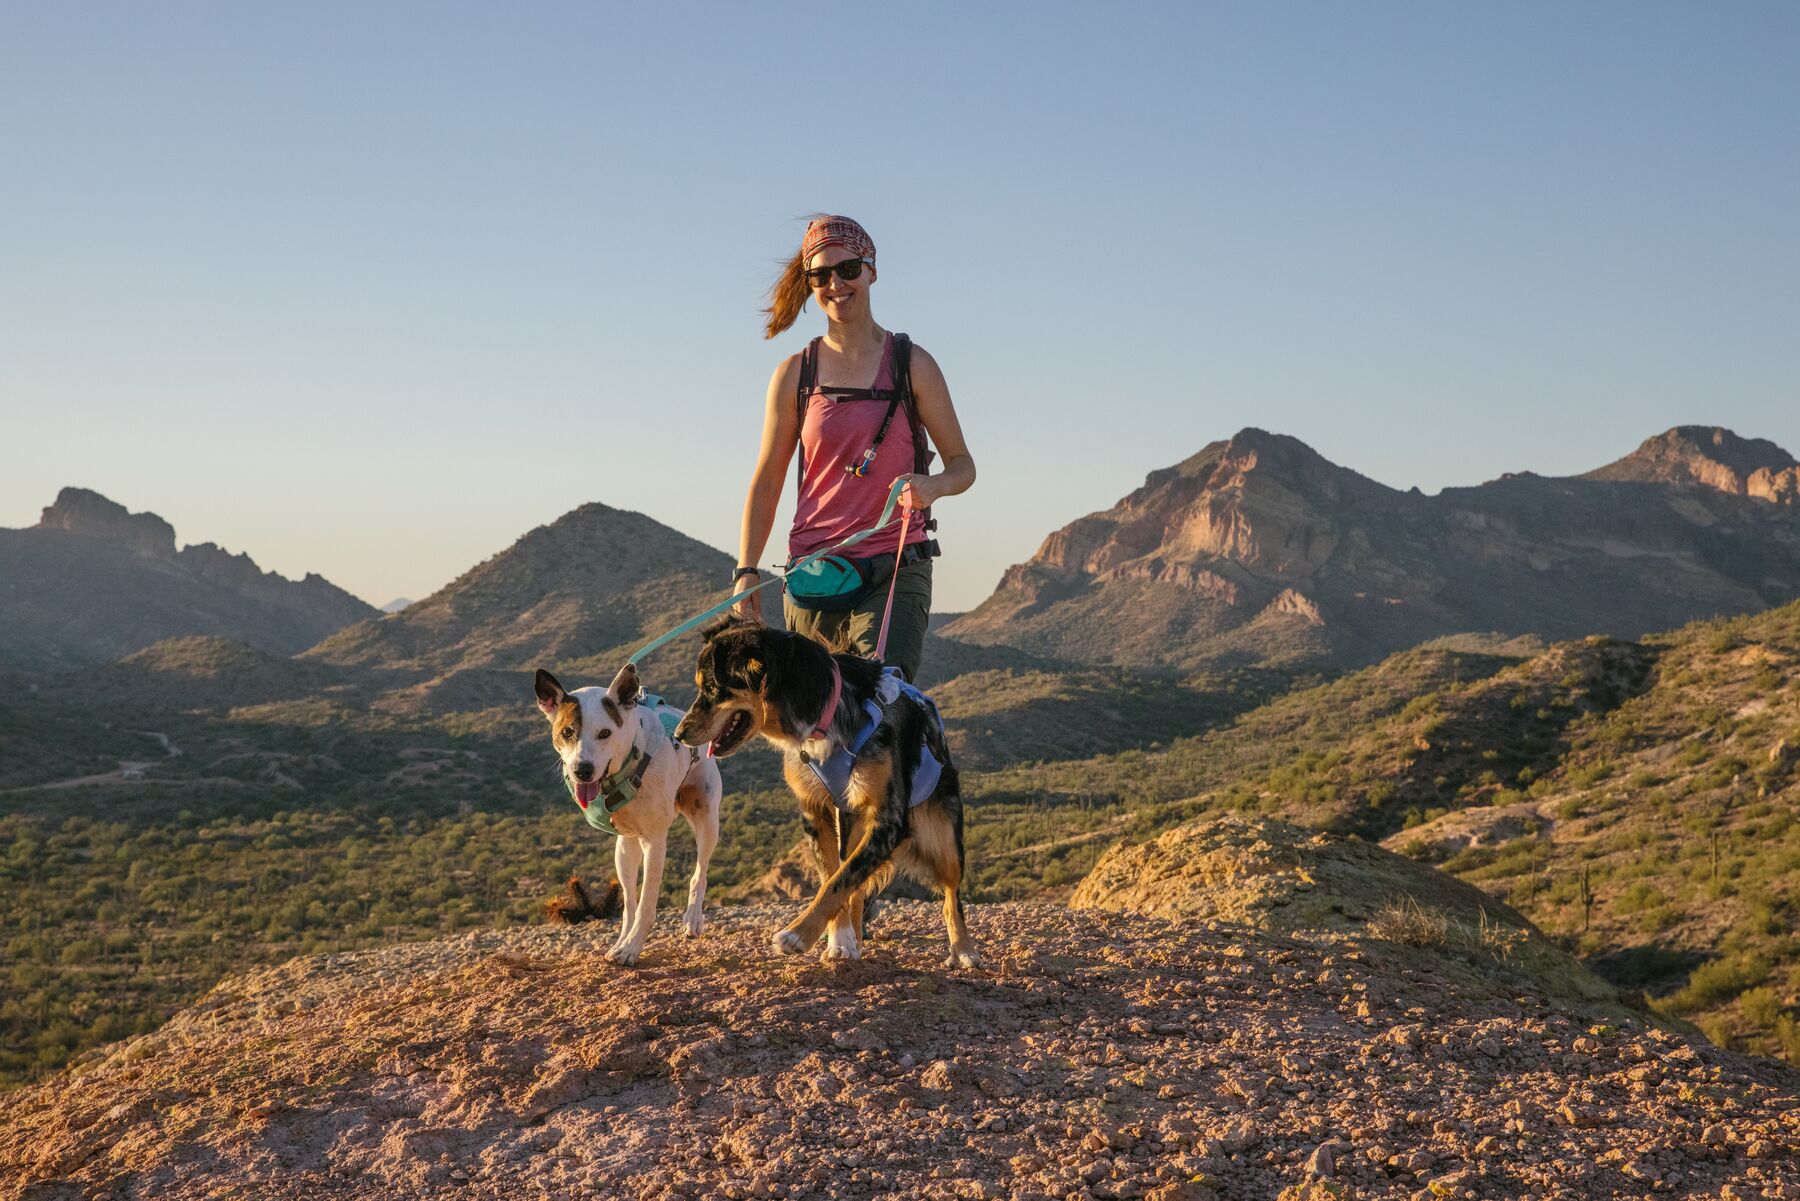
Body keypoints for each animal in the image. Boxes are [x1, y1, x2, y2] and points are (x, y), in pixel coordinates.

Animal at [532, 662, 723, 965]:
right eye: (567, 732)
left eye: (605, 733)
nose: (582, 770)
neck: (631, 760)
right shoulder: (629, 841)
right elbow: (631, 905)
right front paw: (623, 941)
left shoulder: (655, 843)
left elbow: (646, 905)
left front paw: (632, 948)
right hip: (625, 846)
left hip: (706, 818)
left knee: (700, 872)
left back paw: (693, 918)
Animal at [676, 619, 986, 965]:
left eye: (712, 688)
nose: (679, 734)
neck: (825, 710)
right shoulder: (816, 812)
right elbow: (834, 877)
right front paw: (839, 939)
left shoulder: (888, 820)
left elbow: (841, 880)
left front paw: (797, 935)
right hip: (852, 819)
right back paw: (856, 937)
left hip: (943, 837)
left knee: (951, 896)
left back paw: (964, 949)